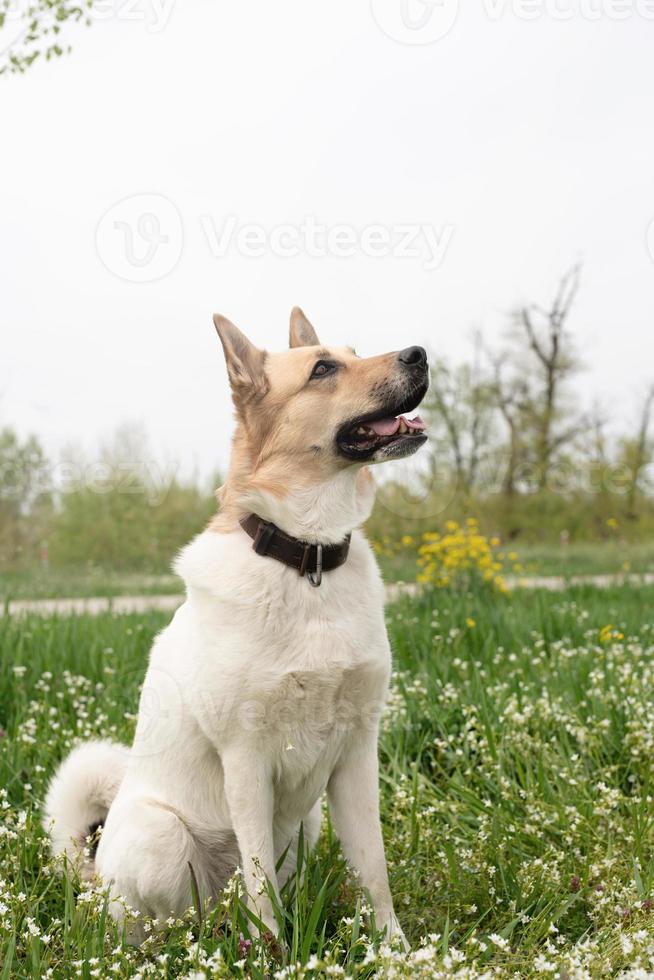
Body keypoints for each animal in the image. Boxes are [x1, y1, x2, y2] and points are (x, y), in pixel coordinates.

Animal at [42, 308, 430, 948]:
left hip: (308, 822)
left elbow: (374, 870)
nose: (421, 354)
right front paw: (275, 955)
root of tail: (93, 882)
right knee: (172, 923)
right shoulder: (247, 762)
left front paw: (394, 950)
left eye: (354, 351)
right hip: (161, 837)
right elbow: (260, 884)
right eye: (323, 369)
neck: (307, 561)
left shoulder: (356, 756)